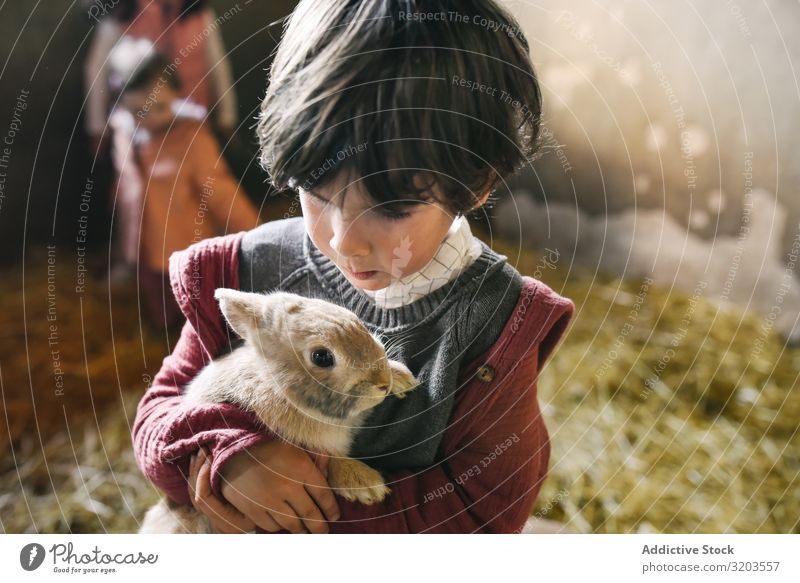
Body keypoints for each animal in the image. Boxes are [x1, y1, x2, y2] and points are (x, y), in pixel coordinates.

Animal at [139, 288, 418, 532]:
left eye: (357, 321)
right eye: (322, 357)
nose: (382, 383)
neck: (278, 387)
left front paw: (403, 378)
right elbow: (332, 460)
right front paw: (366, 485)